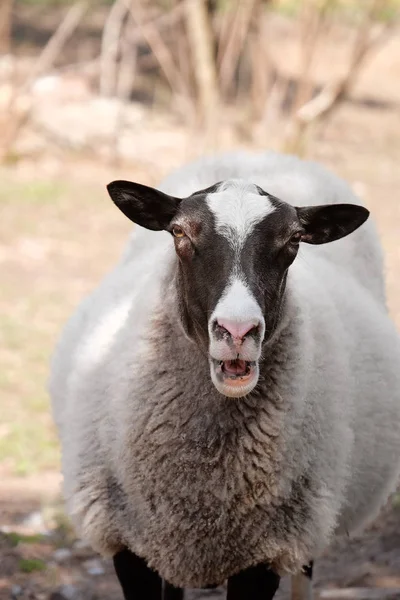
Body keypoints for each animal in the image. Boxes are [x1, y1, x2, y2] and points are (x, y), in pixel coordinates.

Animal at [49, 151, 400, 600]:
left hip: (313, 516)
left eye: (293, 241)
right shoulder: (128, 543)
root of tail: (260, 155)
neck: (204, 483)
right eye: (179, 232)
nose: (237, 331)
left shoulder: (266, 552)